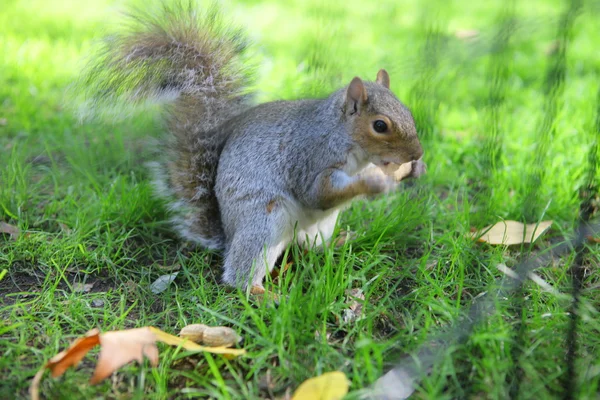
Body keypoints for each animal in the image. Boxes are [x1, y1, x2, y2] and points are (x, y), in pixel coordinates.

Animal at [83, 1, 426, 292]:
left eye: (407, 111)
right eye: (380, 126)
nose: (417, 153)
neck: (348, 142)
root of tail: (228, 232)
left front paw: (412, 170)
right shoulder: (310, 159)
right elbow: (319, 193)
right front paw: (373, 183)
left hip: (317, 228)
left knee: (310, 248)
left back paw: (340, 241)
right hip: (264, 221)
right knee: (240, 275)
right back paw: (262, 295)